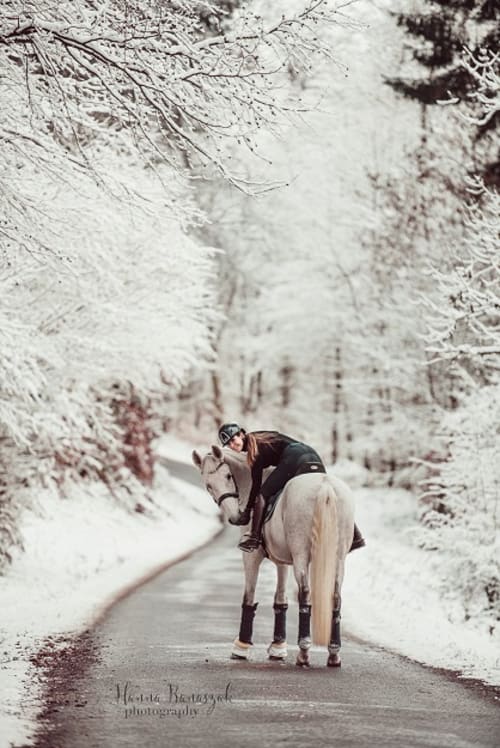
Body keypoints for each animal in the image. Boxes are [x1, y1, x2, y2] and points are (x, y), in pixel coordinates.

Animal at [192, 444, 355, 667]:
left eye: (227, 476)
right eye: (208, 486)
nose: (236, 517)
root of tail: (325, 487)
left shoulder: (252, 557)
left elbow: (249, 597)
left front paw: (241, 647)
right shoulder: (283, 561)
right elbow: (280, 600)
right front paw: (278, 648)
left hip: (301, 555)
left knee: (305, 593)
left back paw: (304, 652)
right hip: (337, 558)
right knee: (336, 596)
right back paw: (334, 653)